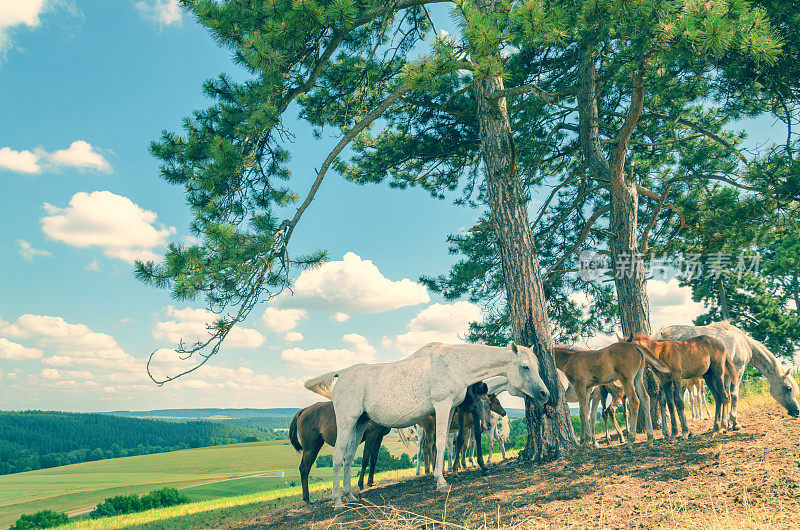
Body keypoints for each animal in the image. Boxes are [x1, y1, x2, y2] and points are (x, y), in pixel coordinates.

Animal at [304, 338, 548, 508]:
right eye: (525, 367)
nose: (545, 394)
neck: (453, 364)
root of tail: (341, 374)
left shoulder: (449, 410)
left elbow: (448, 446)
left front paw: (447, 474)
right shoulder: (442, 406)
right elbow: (441, 444)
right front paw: (441, 482)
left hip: (359, 424)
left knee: (347, 457)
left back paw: (351, 496)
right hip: (347, 422)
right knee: (337, 457)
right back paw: (338, 502)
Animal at [656, 320, 800, 426]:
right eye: (788, 388)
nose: (797, 410)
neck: (744, 342)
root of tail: (656, 336)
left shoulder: (725, 374)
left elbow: (725, 395)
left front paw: (725, 423)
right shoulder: (738, 369)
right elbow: (734, 394)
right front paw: (734, 422)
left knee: (663, 402)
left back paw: (667, 432)